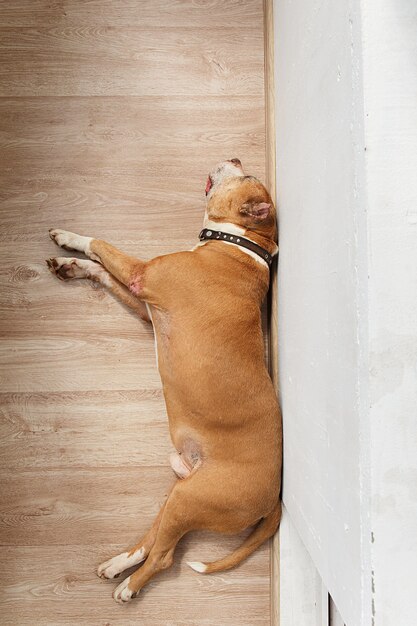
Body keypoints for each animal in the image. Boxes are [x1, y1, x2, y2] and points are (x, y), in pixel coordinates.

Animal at [46, 158, 282, 604]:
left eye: (246, 178)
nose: (236, 159)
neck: (241, 244)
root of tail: (277, 498)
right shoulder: (142, 302)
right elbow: (103, 271)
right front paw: (74, 264)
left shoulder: (141, 274)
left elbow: (101, 244)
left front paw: (71, 239)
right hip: (178, 494)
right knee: (152, 542)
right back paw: (117, 564)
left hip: (191, 498)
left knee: (164, 557)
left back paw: (130, 587)